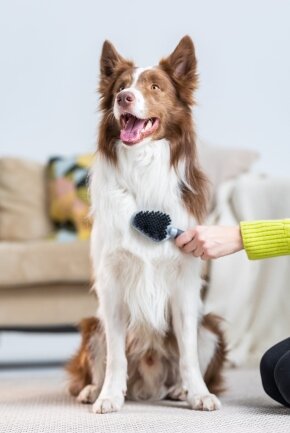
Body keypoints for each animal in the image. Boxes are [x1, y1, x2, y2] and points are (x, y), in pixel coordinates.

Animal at [66, 33, 227, 412]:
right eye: (121, 86)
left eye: (155, 86)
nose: (124, 98)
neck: (143, 164)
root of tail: (149, 381)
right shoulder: (111, 285)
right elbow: (115, 356)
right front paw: (109, 396)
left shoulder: (184, 285)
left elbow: (188, 352)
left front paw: (198, 393)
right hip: (92, 325)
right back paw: (92, 389)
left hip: (210, 327)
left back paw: (179, 389)